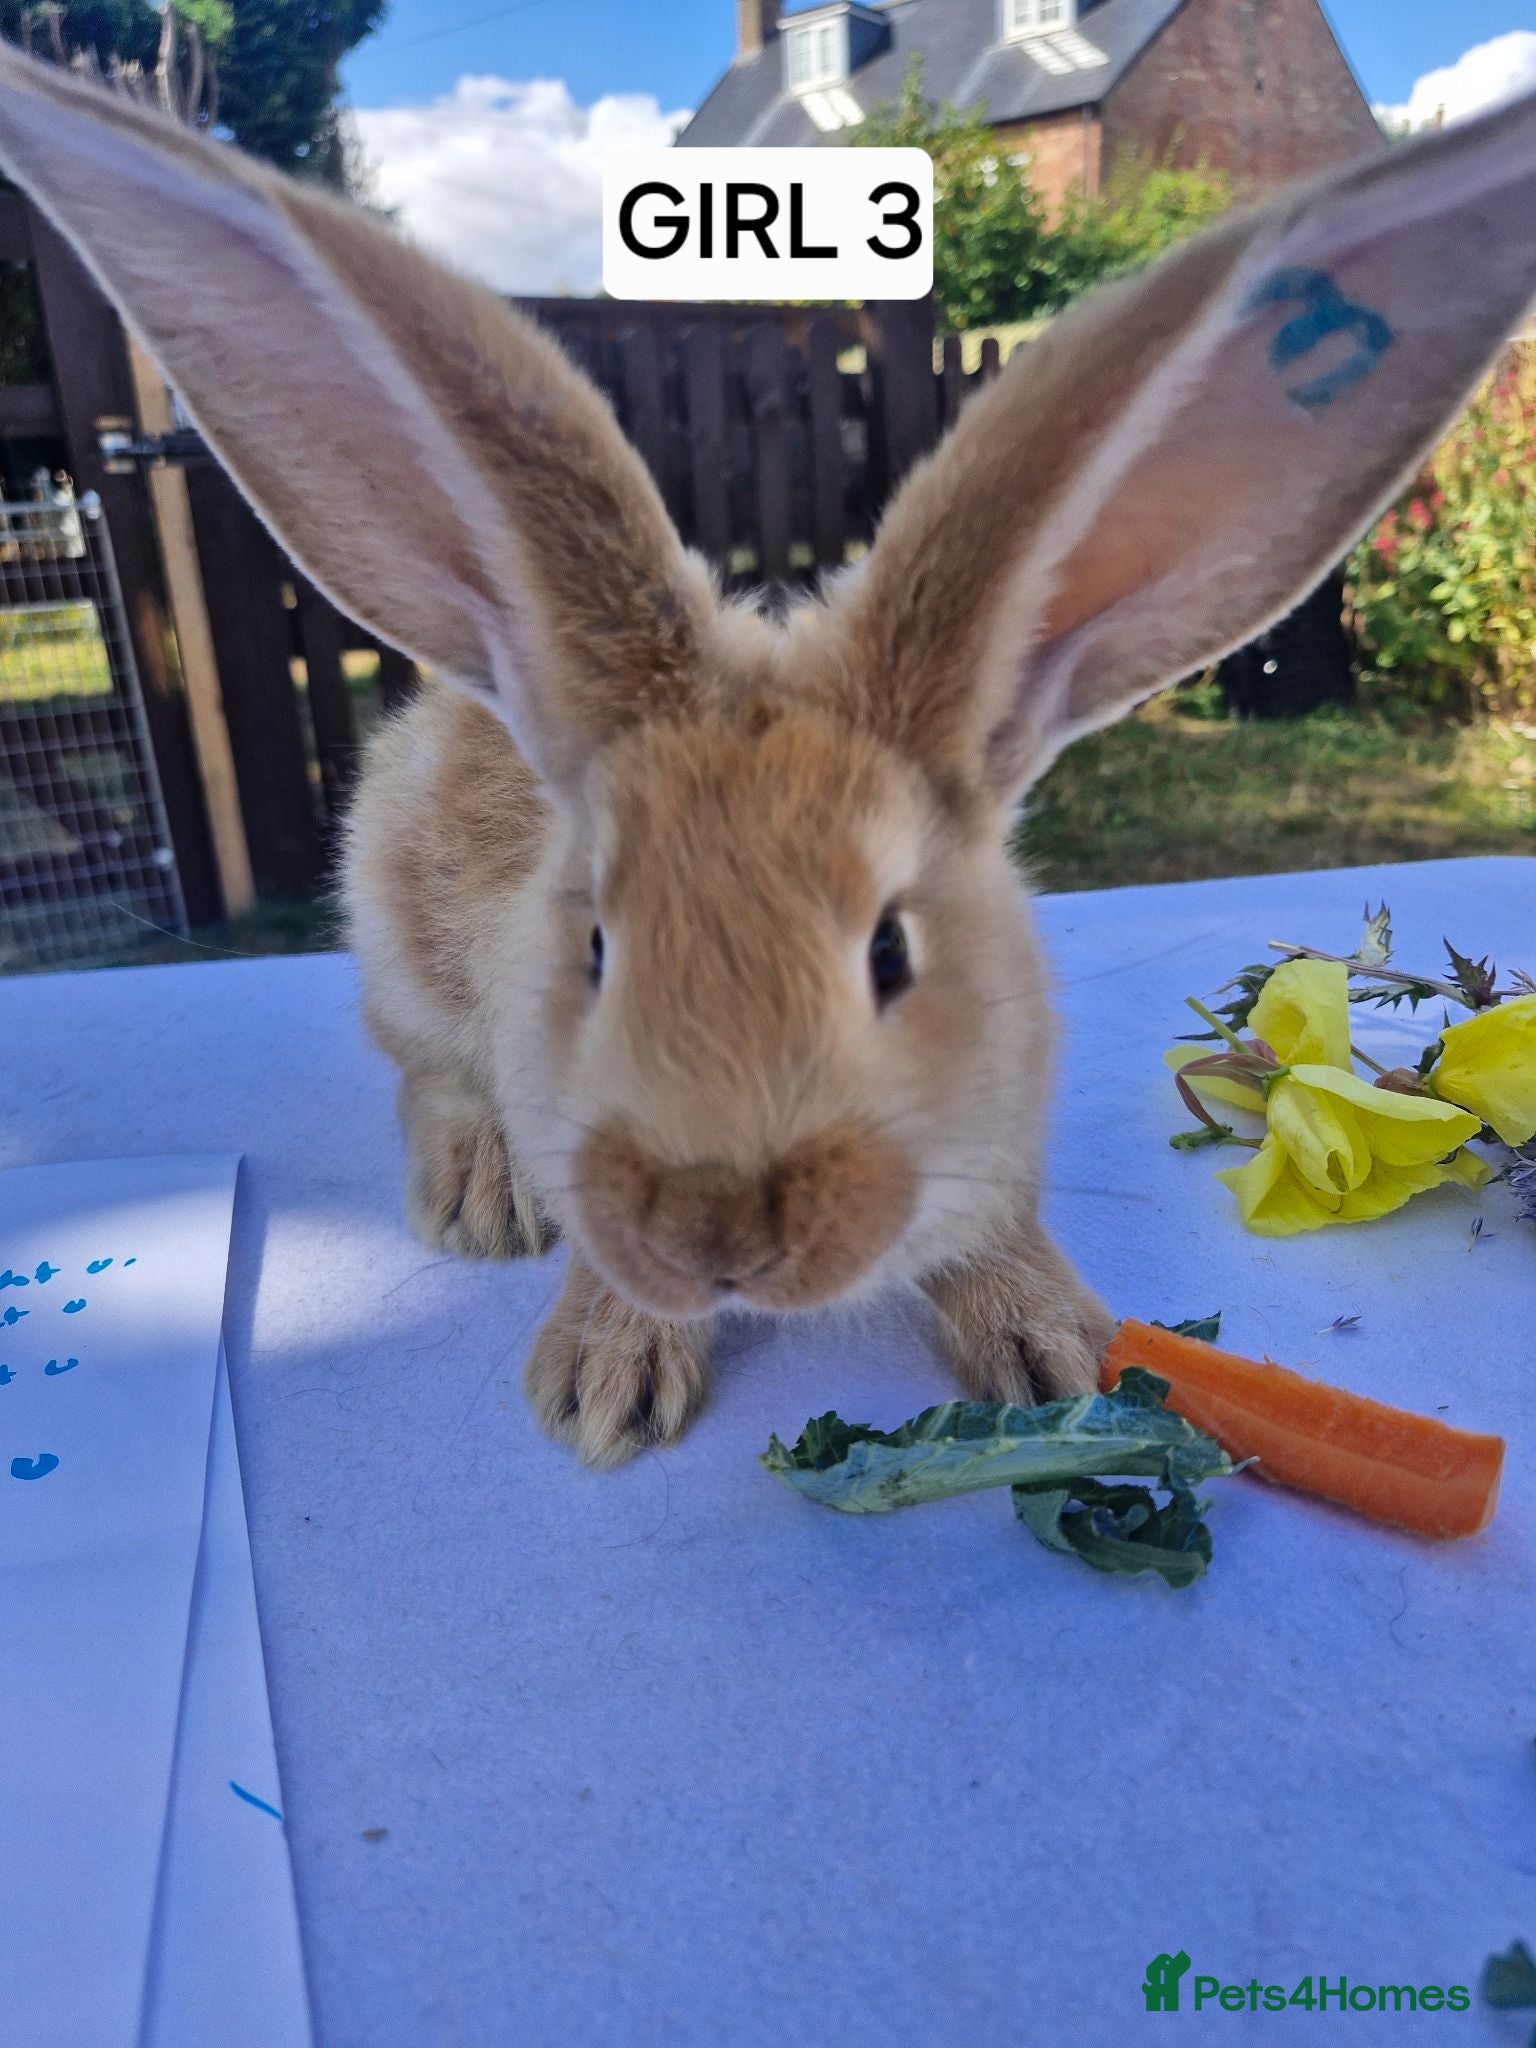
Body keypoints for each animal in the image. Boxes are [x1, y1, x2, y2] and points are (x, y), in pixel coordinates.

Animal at [2, 46, 1533, 1466]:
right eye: (598, 946)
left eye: (891, 954)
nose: (718, 1232)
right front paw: (602, 1387)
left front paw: (1053, 1350)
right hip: (398, 947)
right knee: (420, 1068)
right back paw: (482, 1198)